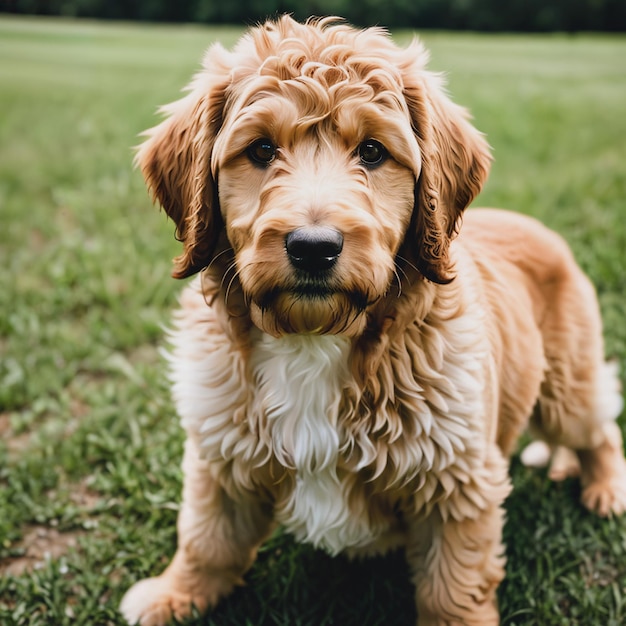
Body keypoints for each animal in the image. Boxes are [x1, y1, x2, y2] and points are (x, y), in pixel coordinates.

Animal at [120, 15, 624, 624]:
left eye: (373, 151)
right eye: (261, 149)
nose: (313, 248)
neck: (315, 341)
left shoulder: (457, 481)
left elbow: (453, 589)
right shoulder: (220, 452)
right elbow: (207, 538)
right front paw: (174, 595)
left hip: (567, 387)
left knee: (600, 424)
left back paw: (606, 487)